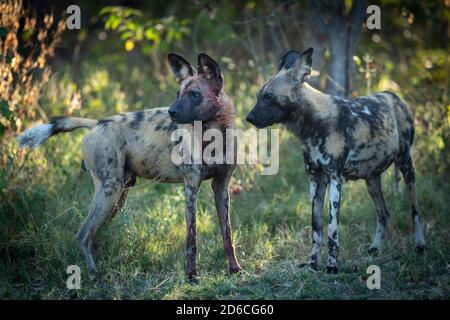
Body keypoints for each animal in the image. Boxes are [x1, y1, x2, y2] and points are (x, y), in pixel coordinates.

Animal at [18, 52, 243, 280]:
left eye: (195, 95)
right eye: (178, 93)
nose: (171, 111)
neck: (215, 136)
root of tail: (97, 123)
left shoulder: (220, 187)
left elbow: (227, 235)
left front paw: (235, 269)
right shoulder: (190, 188)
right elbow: (191, 239)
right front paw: (191, 275)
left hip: (119, 194)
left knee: (96, 233)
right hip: (109, 191)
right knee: (83, 235)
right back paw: (93, 275)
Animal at [246, 48, 426, 274]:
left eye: (269, 96)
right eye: (258, 96)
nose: (249, 118)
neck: (311, 125)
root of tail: (395, 96)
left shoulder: (334, 179)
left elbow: (332, 230)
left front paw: (332, 266)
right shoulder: (316, 180)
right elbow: (316, 230)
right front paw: (312, 264)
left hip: (406, 167)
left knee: (416, 211)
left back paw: (420, 245)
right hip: (371, 181)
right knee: (383, 213)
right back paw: (375, 248)